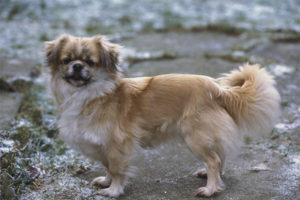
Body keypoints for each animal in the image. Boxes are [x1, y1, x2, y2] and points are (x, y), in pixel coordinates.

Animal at [45, 34, 282, 197]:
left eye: (90, 62)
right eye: (66, 60)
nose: (77, 66)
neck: (90, 93)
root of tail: (217, 89)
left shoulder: (117, 144)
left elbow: (117, 168)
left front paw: (113, 190)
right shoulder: (103, 146)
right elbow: (108, 167)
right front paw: (106, 181)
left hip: (195, 137)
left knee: (214, 159)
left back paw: (210, 189)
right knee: (220, 155)